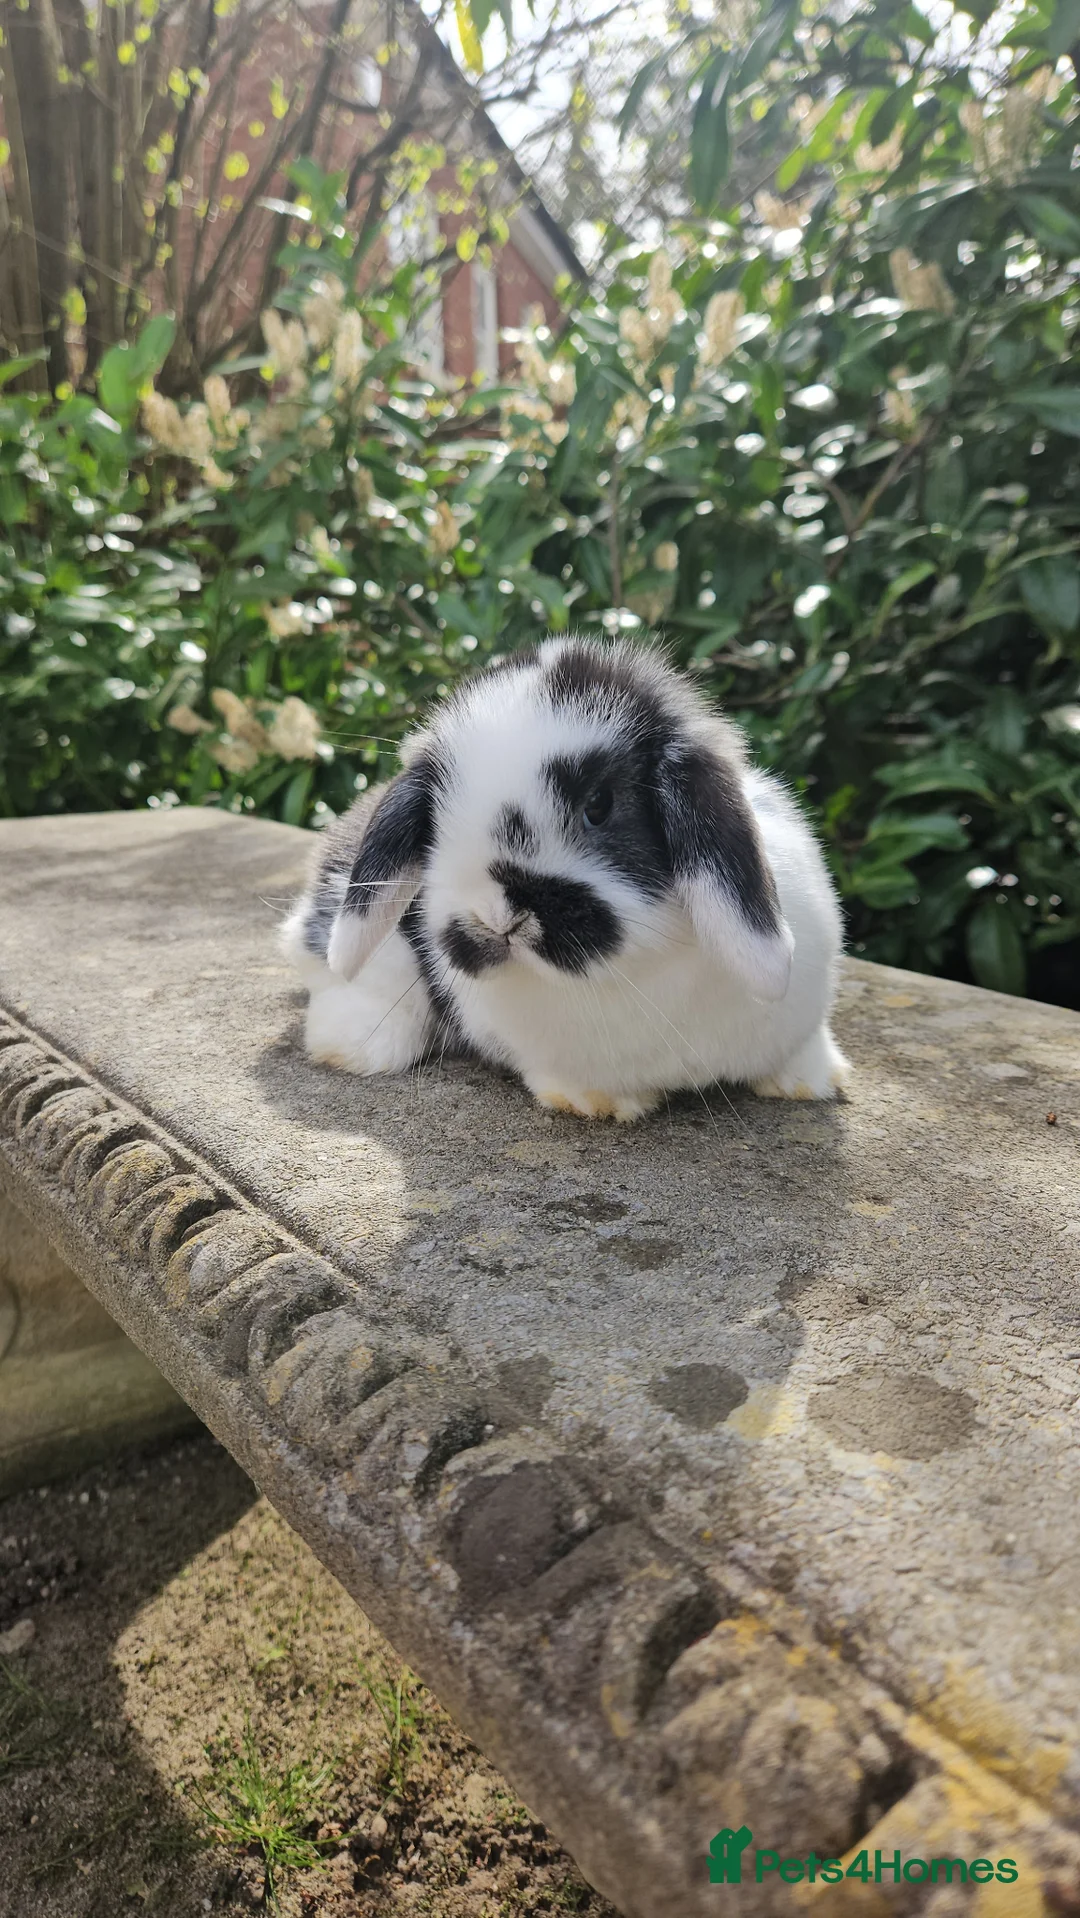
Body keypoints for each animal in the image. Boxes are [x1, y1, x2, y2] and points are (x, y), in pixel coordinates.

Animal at [281, 636, 850, 1120]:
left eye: (598, 804)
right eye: (435, 822)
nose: (496, 918)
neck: (641, 969)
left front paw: (810, 1082)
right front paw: (594, 1103)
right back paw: (347, 1047)